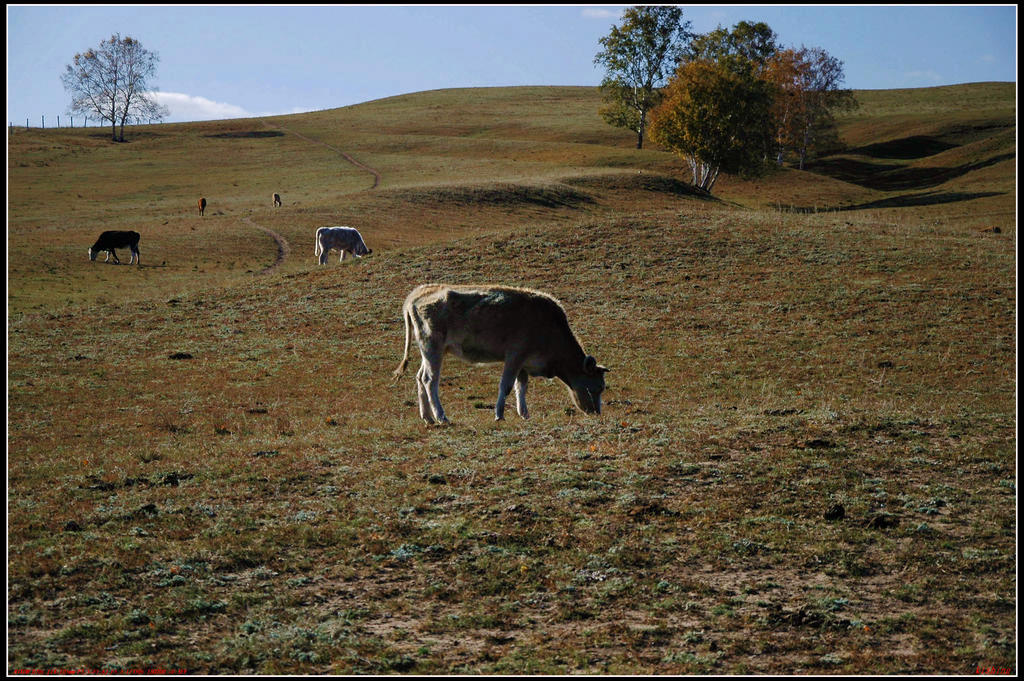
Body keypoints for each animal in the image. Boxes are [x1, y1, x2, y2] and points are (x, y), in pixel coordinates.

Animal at [393, 282, 606, 421]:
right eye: (597, 387)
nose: (596, 412)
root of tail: (418, 293)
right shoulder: (515, 355)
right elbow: (506, 385)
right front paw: (499, 415)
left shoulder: (523, 363)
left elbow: (521, 387)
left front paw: (524, 414)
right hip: (432, 348)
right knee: (430, 380)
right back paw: (441, 416)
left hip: (430, 352)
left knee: (420, 377)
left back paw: (427, 417)